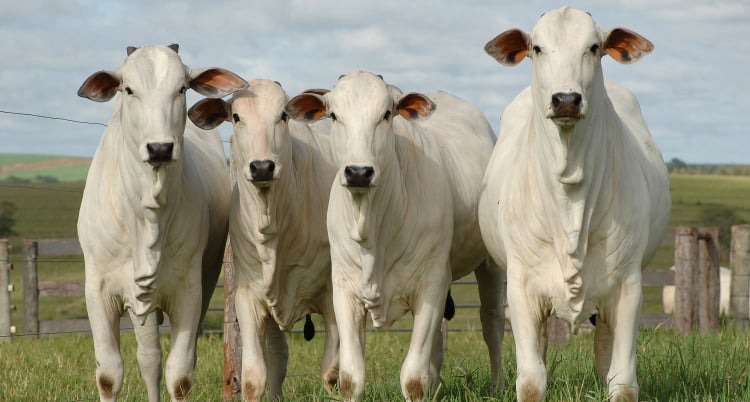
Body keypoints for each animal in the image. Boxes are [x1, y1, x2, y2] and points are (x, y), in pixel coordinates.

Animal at [79, 44, 248, 402]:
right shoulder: (98, 289)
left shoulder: (189, 291)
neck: (147, 216)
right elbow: (109, 375)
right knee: (148, 358)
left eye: (182, 88)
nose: (159, 148)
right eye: (128, 89)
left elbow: (180, 375)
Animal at [188, 79, 340, 402]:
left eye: (283, 115)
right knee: (279, 357)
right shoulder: (249, 298)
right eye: (236, 117)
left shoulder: (335, 292)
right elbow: (254, 377)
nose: (262, 167)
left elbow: (332, 372)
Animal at [284, 72, 508, 402]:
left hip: (489, 264)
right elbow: (351, 377)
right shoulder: (344, 290)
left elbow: (413, 379)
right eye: (334, 115)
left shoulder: (430, 284)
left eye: (386, 114)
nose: (359, 172)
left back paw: (497, 385)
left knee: (492, 322)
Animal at [478, 7, 672, 402]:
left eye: (594, 47)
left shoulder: (628, 286)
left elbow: (623, 383)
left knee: (604, 350)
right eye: (536, 47)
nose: (566, 99)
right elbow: (531, 380)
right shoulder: (521, 288)